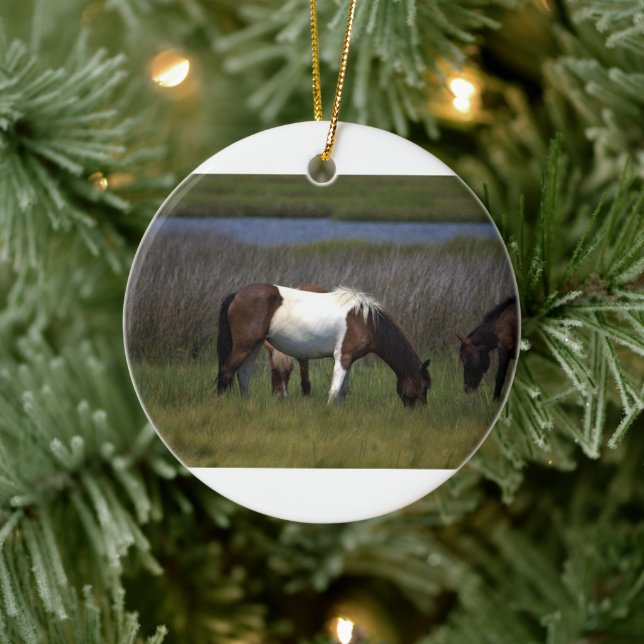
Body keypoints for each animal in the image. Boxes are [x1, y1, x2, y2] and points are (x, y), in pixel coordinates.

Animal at [217, 283, 431, 407]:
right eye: (425, 387)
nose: (420, 411)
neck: (367, 321)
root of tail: (237, 294)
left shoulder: (349, 359)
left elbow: (343, 391)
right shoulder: (342, 357)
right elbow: (335, 390)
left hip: (254, 345)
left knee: (243, 375)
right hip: (244, 345)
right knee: (226, 371)